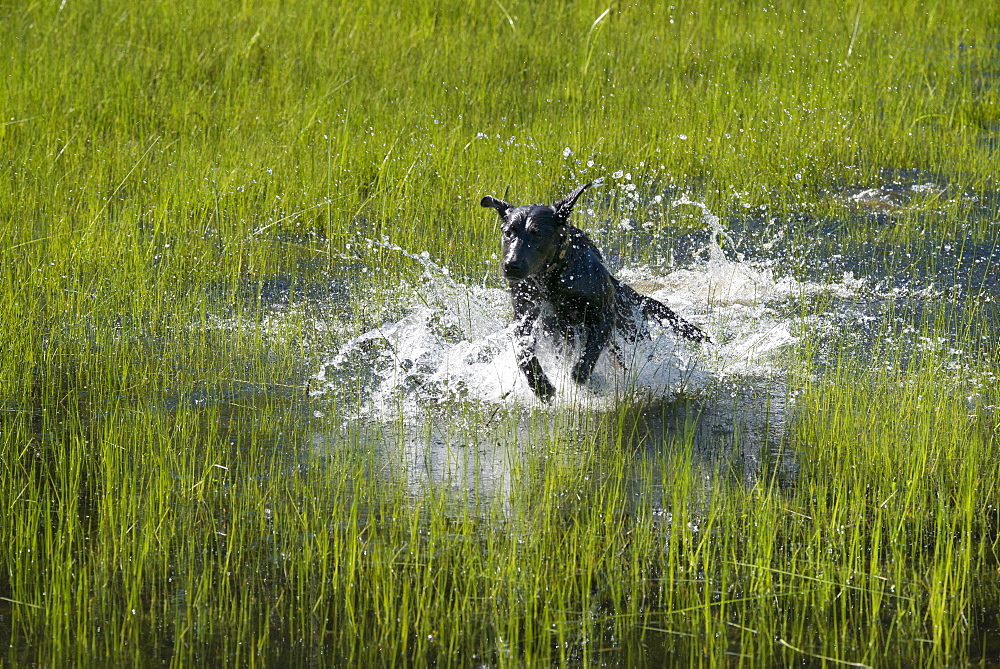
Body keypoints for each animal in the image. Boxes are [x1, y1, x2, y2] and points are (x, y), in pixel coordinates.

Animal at [480, 183, 708, 400]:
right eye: (508, 232)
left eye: (538, 234)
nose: (511, 266)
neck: (551, 280)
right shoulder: (525, 319)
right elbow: (523, 353)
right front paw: (542, 386)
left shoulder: (604, 317)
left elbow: (586, 360)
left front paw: (587, 381)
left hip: (630, 333)